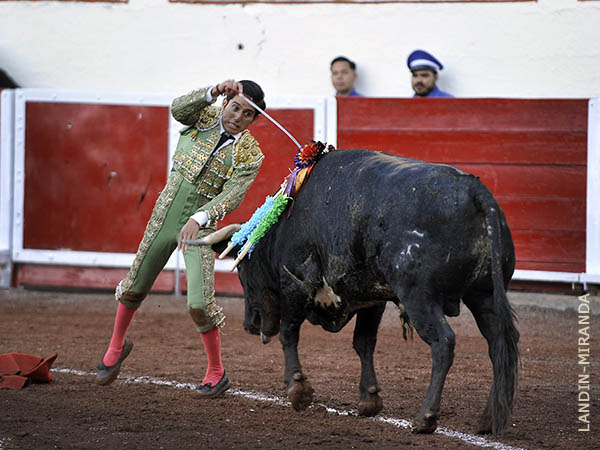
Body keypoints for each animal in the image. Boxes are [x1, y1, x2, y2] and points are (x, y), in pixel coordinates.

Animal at [204, 150, 516, 436]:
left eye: (243, 271)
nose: (250, 324)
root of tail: (473, 189)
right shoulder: (372, 298)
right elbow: (363, 343)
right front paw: (369, 400)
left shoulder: (296, 282)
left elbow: (288, 334)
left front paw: (298, 389)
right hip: (484, 294)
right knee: (499, 343)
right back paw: (488, 419)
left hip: (420, 297)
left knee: (444, 343)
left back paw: (426, 417)